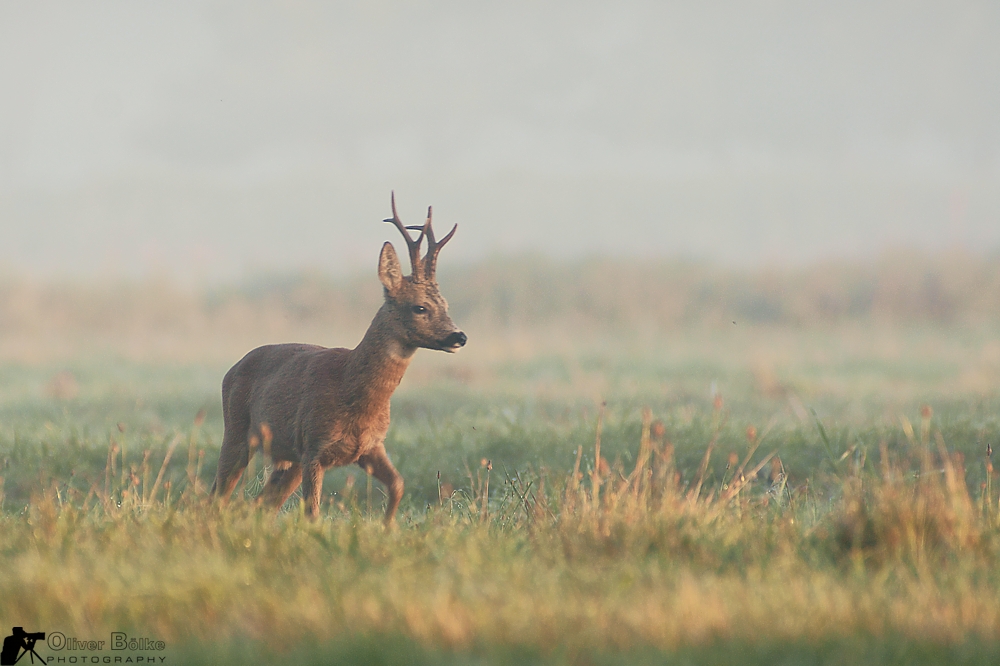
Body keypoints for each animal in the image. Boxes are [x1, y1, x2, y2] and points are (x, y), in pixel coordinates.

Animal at [212, 192, 468, 524]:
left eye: (446, 304)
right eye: (420, 307)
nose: (458, 337)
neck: (349, 389)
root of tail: (231, 369)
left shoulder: (370, 446)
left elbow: (398, 485)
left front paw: (387, 527)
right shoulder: (313, 446)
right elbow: (313, 511)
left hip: (285, 458)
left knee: (262, 503)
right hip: (237, 429)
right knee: (218, 494)